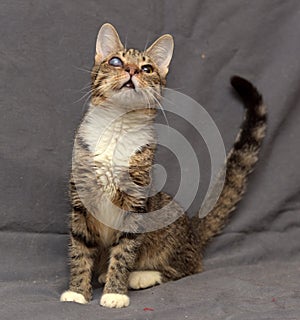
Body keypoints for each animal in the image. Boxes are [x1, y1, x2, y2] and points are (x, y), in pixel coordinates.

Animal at [59, 22, 266, 308]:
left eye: (147, 68)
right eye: (115, 61)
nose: (132, 70)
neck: (117, 127)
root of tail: (192, 231)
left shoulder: (136, 201)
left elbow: (124, 252)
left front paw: (115, 292)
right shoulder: (81, 200)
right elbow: (79, 249)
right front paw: (78, 291)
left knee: (188, 266)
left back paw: (140, 276)